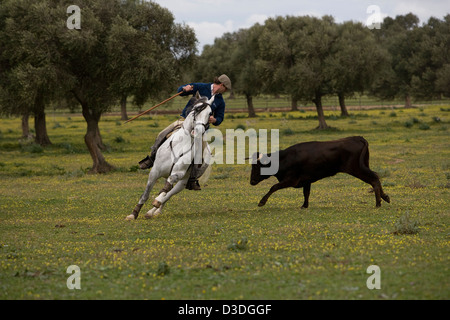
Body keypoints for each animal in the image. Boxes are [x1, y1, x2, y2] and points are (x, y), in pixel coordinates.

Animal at [125, 91, 215, 219]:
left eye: (210, 113)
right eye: (195, 109)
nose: (198, 130)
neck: (181, 144)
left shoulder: (178, 173)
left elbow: (167, 188)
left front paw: (157, 200)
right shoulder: (155, 171)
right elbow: (145, 195)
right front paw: (133, 214)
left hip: (183, 182)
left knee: (169, 193)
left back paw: (155, 207)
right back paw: (152, 211)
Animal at [250, 136, 390, 209]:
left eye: (257, 167)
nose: (251, 181)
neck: (285, 158)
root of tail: (356, 138)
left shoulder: (291, 180)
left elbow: (273, 187)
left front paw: (262, 202)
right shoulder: (306, 180)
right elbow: (306, 193)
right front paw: (304, 205)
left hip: (357, 169)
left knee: (374, 179)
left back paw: (378, 203)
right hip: (363, 166)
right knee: (375, 177)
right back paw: (385, 197)